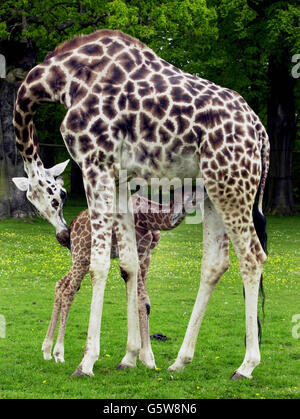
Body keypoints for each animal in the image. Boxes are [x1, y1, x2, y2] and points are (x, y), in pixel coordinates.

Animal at [42, 189, 197, 370]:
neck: (150, 217)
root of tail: (71, 228)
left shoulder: (147, 256)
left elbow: (143, 302)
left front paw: (142, 357)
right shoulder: (137, 251)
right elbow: (143, 302)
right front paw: (148, 359)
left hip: (81, 258)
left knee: (60, 285)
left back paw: (47, 351)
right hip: (82, 255)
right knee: (68, 291)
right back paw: (59, 353)